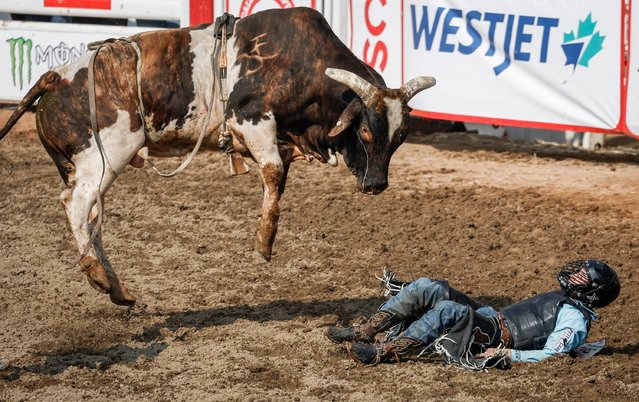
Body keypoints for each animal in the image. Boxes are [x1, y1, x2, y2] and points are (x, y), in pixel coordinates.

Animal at [0, 8, 438, 304]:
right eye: (364, 130)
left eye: (399, 137)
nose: (376, 184)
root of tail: (53, 77)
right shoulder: (251, 120)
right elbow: (273, 173)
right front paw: (264, 242)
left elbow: (277, 177)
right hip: (102, 158)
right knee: (76, 204)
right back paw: (98, 274)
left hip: (88, 166)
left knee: (92, 218)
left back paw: (116, 287)